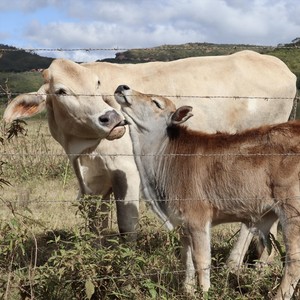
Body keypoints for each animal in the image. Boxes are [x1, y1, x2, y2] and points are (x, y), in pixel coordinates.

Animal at [3, 50, 296, 256]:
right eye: (62, 91)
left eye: (97, 83)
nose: (111, 118)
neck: (82, 147)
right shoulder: (91, 183)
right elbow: (95, 228)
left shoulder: (127, 172)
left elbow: (126, 225)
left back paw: (232, 264)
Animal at [113, 85, 298, 300]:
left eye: (156, 103)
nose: (123, 87)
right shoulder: (182, 223)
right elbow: (186, 260)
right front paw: (188, 290)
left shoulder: (197, 219)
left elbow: (201, 261)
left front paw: (204, 292)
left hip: (292, 212)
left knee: (294, 263)